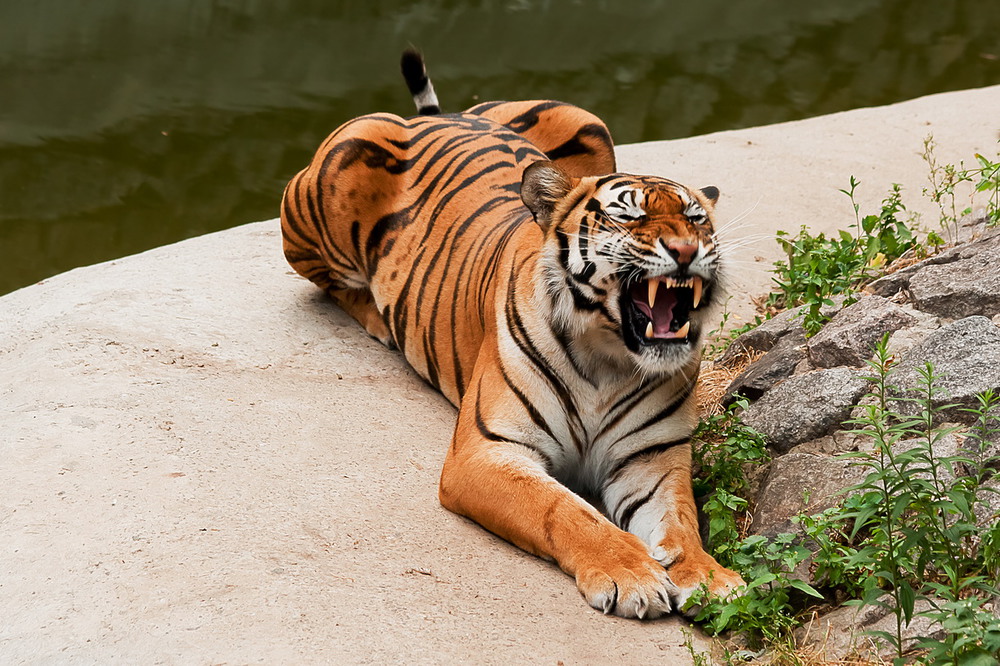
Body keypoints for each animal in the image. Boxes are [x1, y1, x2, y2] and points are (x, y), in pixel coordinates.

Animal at [280, 48, 744, 616]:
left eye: (697, 219)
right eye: (628, 216)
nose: (686, 249)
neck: (610, 358)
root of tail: (443, 115)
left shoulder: (651, 459)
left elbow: (680, 522)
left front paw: (709, 577)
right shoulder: (487, 452)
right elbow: (562, 508)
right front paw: (630, 573)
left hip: (581, 117)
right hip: (333, 168)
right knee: (328, 279)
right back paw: (376, 317)